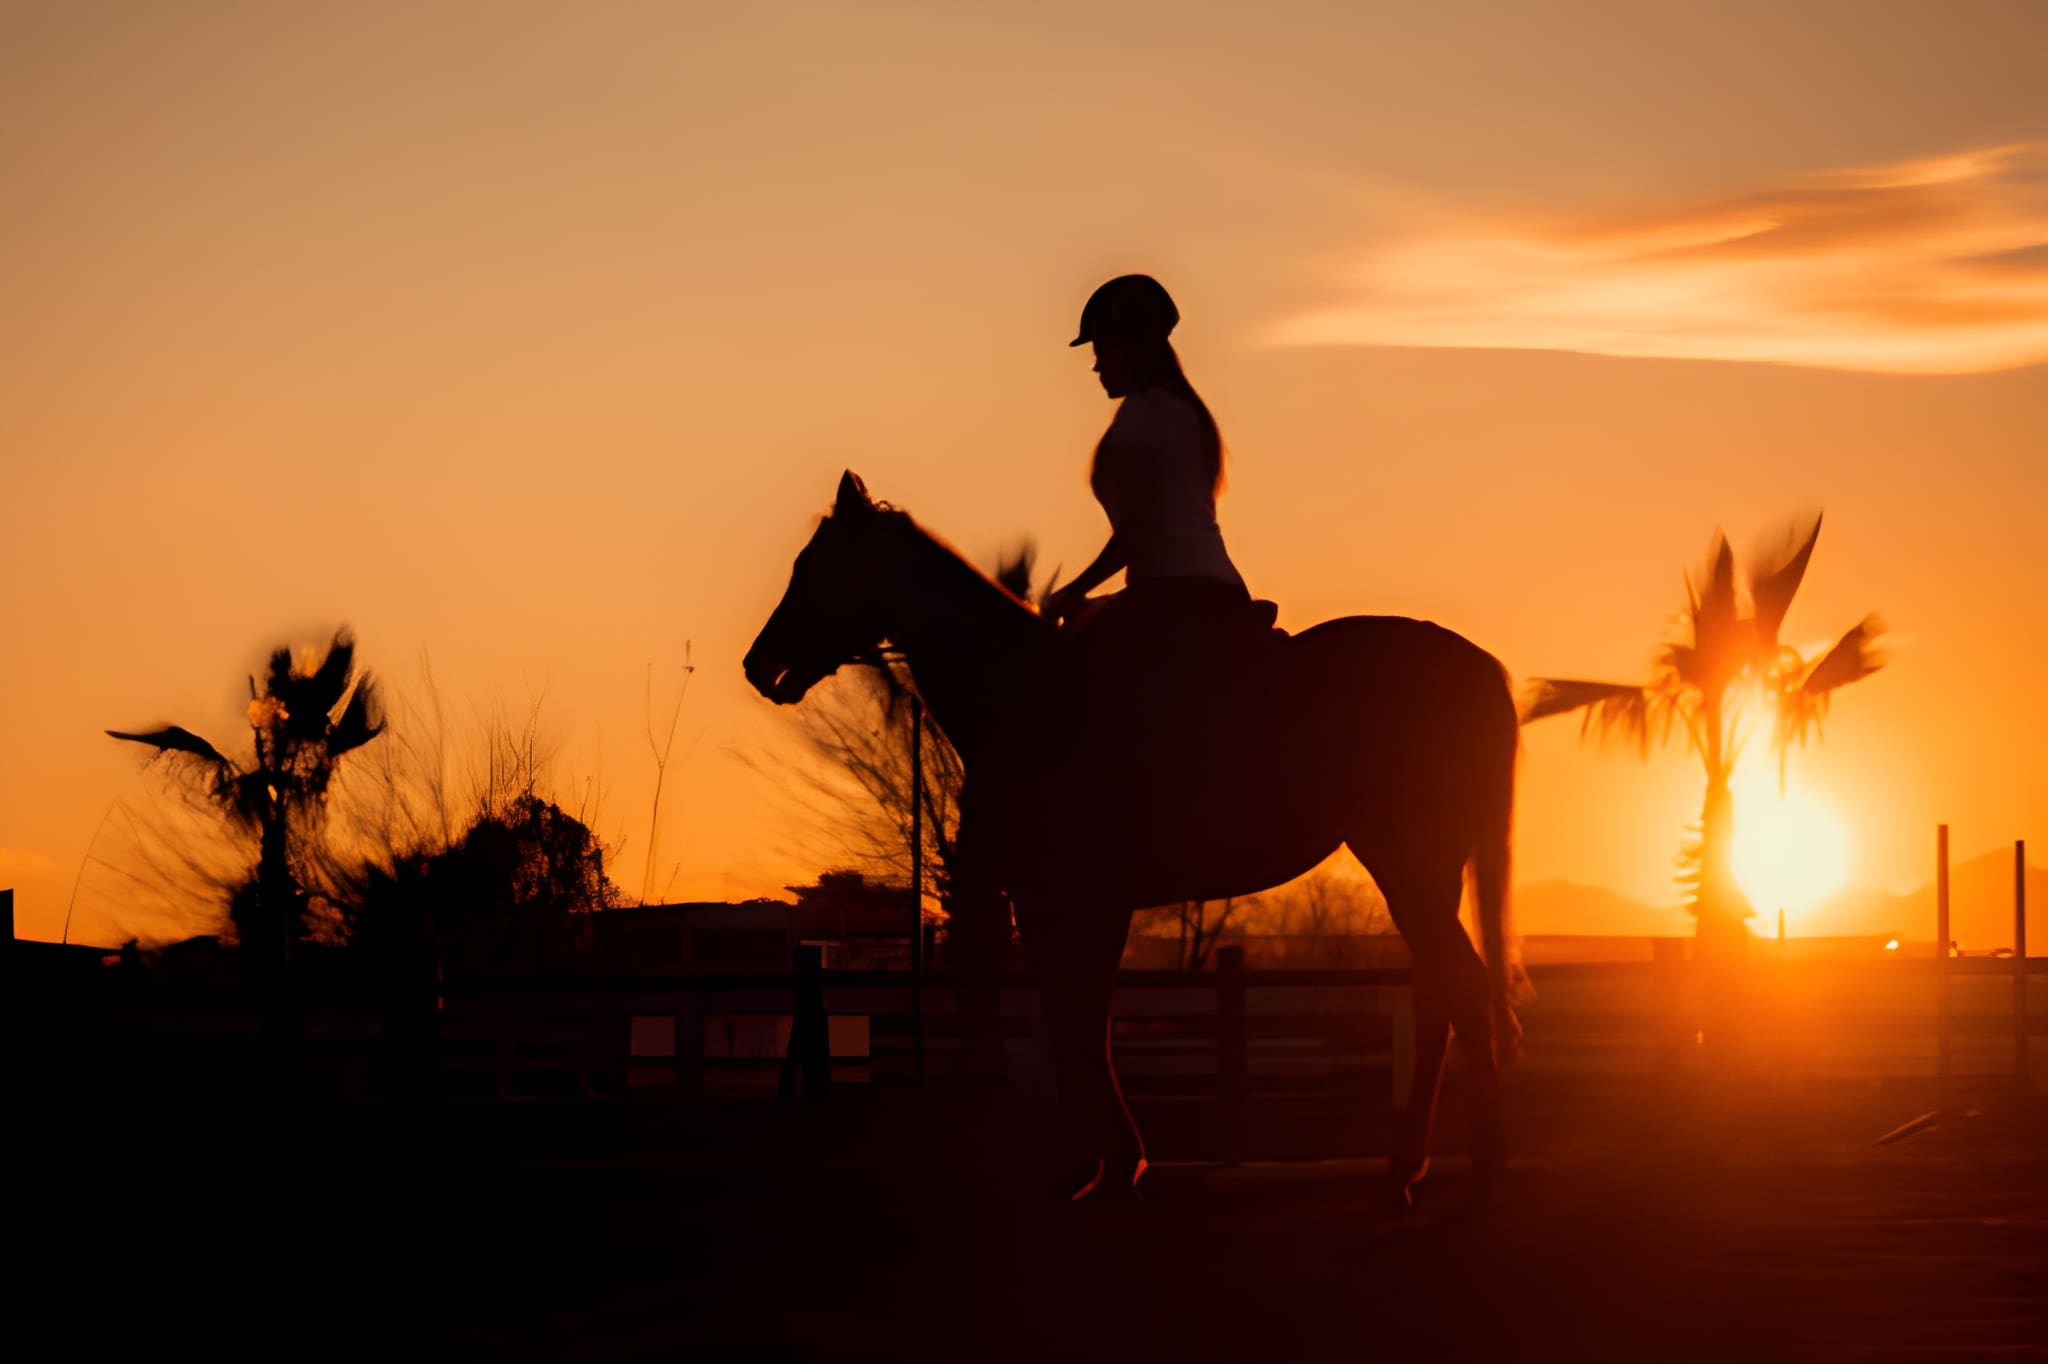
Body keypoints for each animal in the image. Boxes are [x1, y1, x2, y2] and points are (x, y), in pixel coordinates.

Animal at [745, 471, 1525, 1205]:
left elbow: (1076, 1016)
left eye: (817, 564)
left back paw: (1471, 1173)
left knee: (1458, 985)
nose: (760, 665)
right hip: (1427, 867)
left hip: (1405, 859)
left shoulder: (1059, 896)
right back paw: (1413, 1170)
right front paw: (1112, 1162)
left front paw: (1107, 1165)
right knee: (1440, 993)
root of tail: (1478, 667)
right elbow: (1087, 1014)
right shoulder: (1082, 902)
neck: (1026, 697)